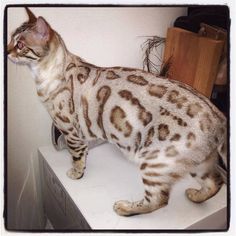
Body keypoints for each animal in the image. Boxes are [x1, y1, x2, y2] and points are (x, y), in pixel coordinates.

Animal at [7, 8, 227, 217]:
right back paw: (195, 196)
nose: (6, 52)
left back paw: (125, 208)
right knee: (216, 182)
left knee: (160, 199)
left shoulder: (70, 131)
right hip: (198, 164)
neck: (43, 75)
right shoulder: (79, 134)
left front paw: (76, 174)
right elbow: (84, 152)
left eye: (20, 45)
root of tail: (219, 116)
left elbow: (77, 157)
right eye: (10, 39)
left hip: (154, 164)